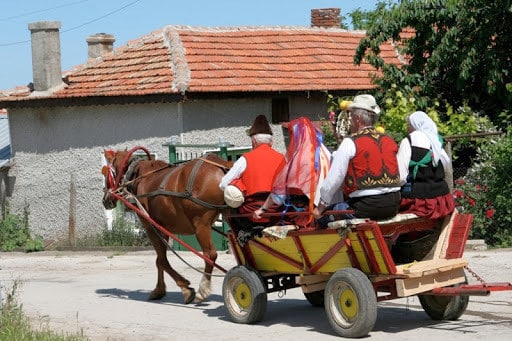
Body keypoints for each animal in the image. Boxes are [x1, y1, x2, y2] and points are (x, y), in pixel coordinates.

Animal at [101, 146, 232, 302]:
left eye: (106, 172)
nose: (105, 200)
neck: (141, 177)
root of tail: (223, 165)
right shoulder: (163, 228)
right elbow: (160, 260)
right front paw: (160, 289)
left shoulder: (151, 227)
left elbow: (161, 260)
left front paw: (184, 288)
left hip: (201, 225)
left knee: (210, 255)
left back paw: (203, 288)